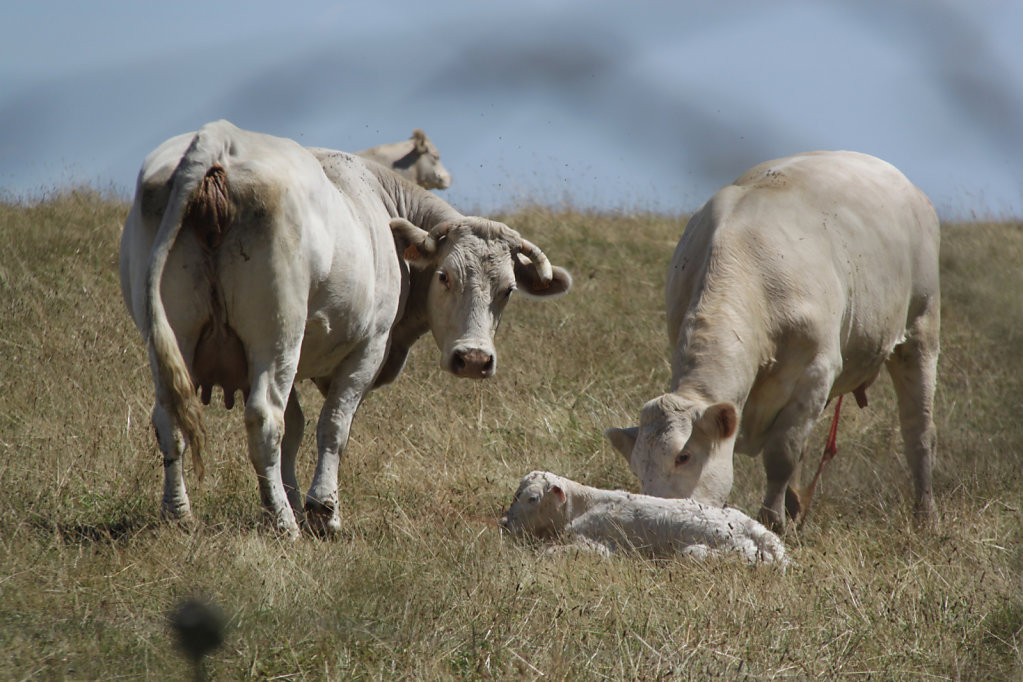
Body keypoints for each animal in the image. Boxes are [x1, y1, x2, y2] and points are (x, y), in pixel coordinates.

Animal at [117, 122, 576, 539]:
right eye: (445, 276)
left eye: (508, 290)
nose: (475, 359)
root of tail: (220, 138)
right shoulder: (367, 351)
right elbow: (333, 427)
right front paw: (322, 511)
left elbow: (296, 428)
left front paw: (292, 499)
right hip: (277, 337)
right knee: (264, 419)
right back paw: (283, 525)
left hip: (172, 337)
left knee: (169, 417)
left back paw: (178, 514)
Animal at [605, 150, 941, 531]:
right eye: (637, 467)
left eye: (684, 456)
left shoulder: (815, 374)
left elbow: (782, 454)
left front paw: (772, 520)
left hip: (921, 325)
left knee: (919, 430)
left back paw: (926, 515)